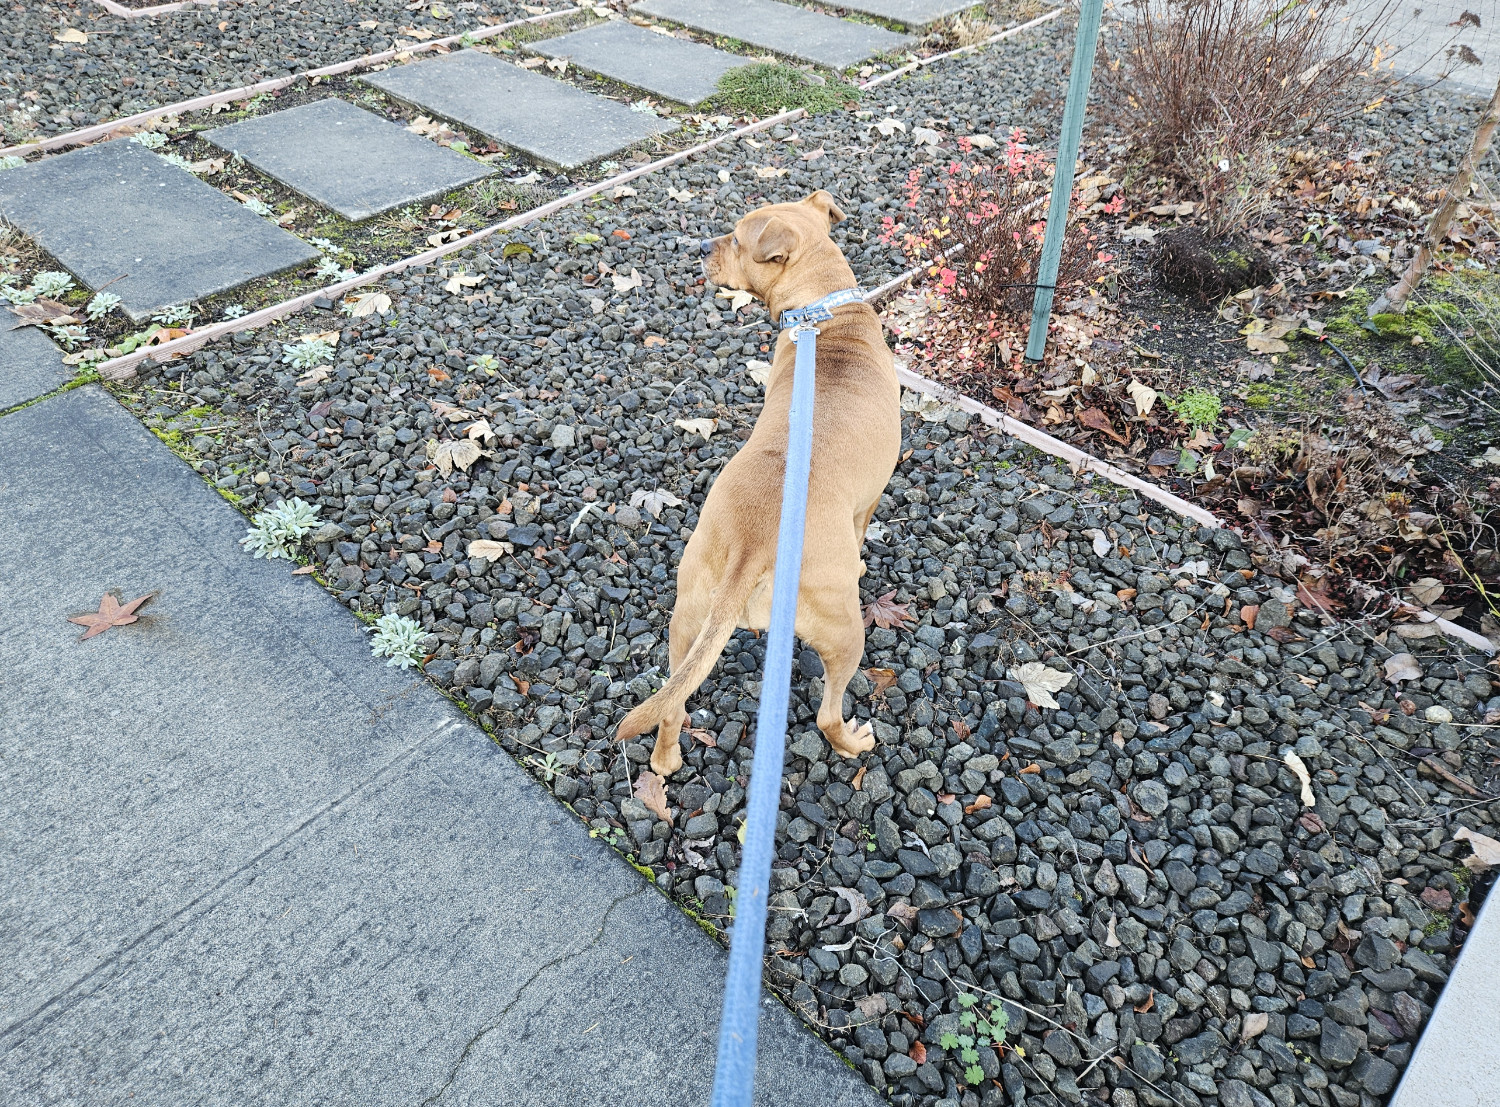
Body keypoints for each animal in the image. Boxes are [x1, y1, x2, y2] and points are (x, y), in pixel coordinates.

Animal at [612, 192, 894, 774]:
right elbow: (862, 534)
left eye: (737, 241)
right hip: (844, 631)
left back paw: (666, 763)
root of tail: (752, 546)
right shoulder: (868, 501)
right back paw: (852, 742)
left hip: (689, 616)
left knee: (672, 702)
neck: (824, 313)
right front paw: (861, 561)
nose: (700, 245)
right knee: (827, 713)